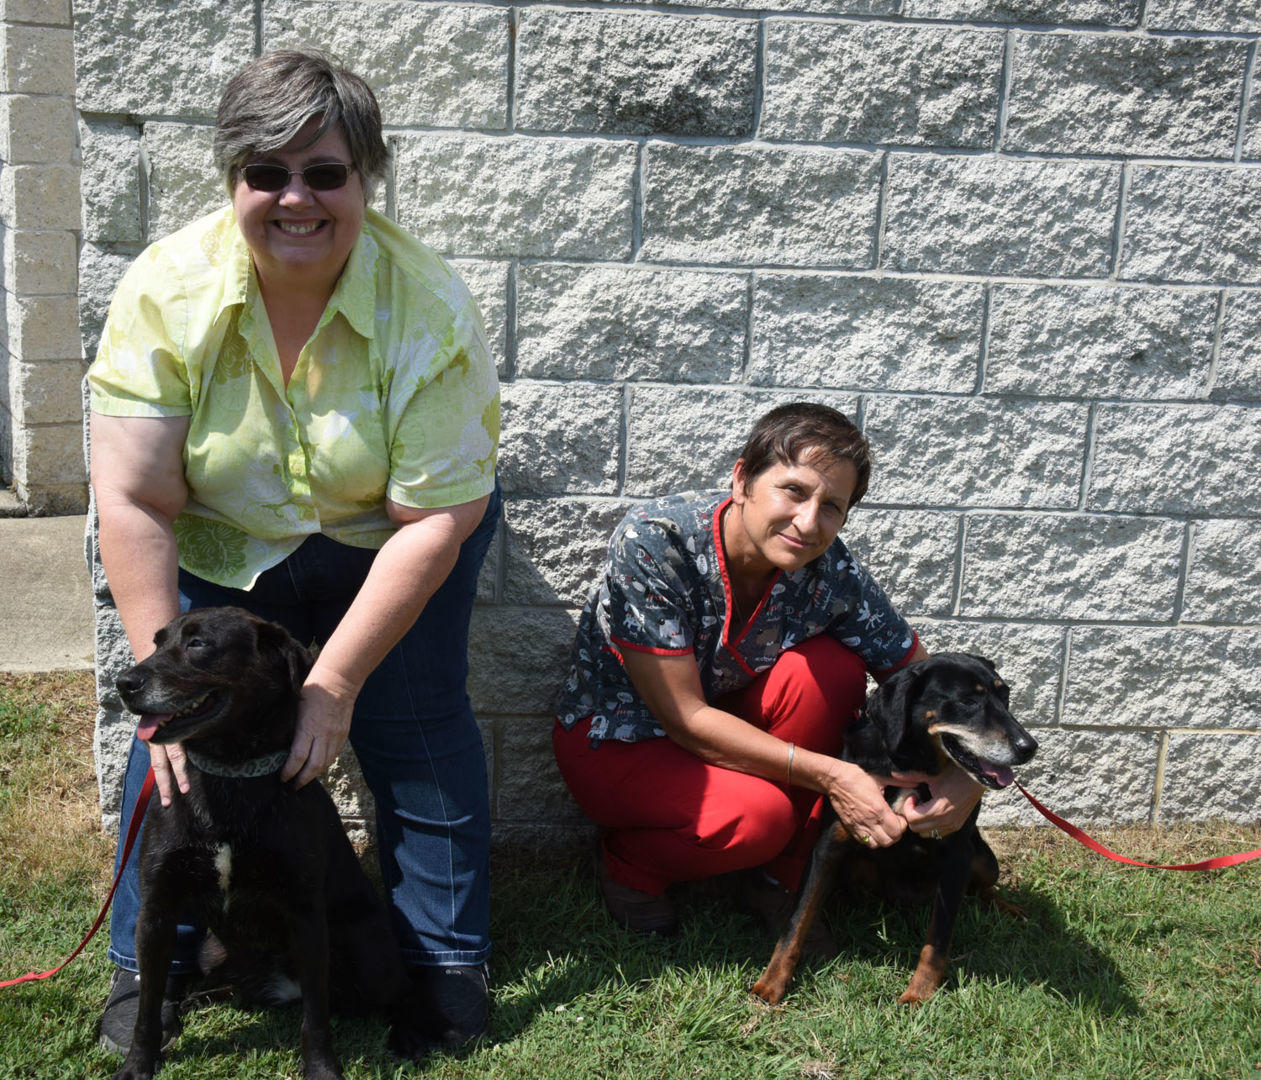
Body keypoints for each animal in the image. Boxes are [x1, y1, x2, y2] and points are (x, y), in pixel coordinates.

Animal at [113, 608, 438, 1080]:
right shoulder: (157, 912)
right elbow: (147, 1009)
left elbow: (315, 1018)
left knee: (400, 992)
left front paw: (322, 1070)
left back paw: (410, 1036)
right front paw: (138, 1065)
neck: (229, 773)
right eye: (157, 643)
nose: (124, 683)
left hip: (368, 945)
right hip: (211, 950)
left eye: (198, 644)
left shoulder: (305, 916)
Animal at [751, 656, 1039, 1009]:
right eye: (968, 701)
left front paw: (919, 994)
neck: (909, 764)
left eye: (1006, 696)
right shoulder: (828, 845)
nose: (1029, 747)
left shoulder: (958, 855)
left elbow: (937, 939)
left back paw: (1009, 909)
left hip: (984, 858)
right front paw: (771, 982)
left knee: (981, 889)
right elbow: (797, 920)